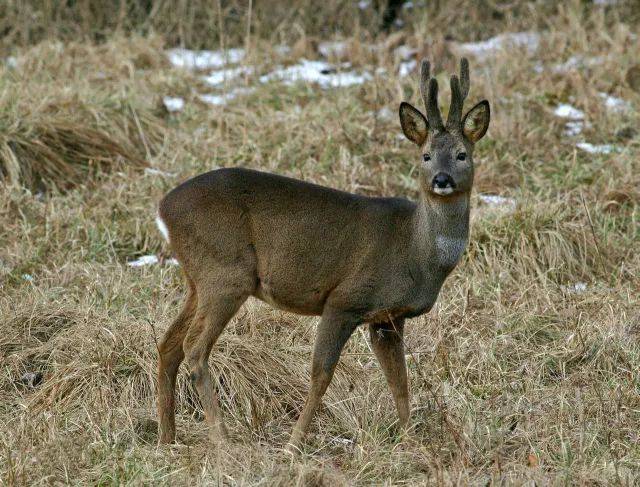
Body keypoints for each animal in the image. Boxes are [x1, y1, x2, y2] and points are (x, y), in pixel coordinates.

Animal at [155, 58, 490, 454]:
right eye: (425, 155)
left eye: (461, 154)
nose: (441, 179)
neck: (416, 251)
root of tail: (163, 210)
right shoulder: (345, 298)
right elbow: (321, 374)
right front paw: (293, 444)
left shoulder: (387, 318)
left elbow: (400, 382)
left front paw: (409, 440)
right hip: (225, 272)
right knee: (194, 348)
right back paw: (223, 441)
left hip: (199, 278)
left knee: (168, 344)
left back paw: (167, 437)